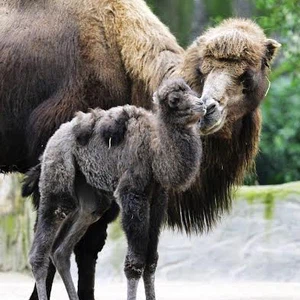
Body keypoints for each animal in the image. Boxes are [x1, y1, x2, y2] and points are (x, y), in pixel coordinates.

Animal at [28, 79, 206, 300]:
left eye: (192, 91)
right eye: (174, 99)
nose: (202, 104)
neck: (155, 152)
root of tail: (51, 142)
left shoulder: (158, 198)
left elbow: (151, 261)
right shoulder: (131, 193)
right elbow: (135, 263)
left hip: (90, 197)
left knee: (61, 250)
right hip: (57, 175)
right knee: (41, 247)